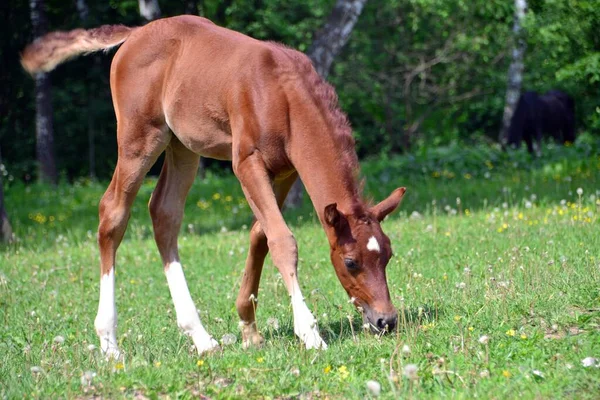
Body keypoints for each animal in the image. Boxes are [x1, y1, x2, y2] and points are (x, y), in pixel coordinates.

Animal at [23, 15, 408, 358]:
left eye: (388, 255)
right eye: (351, 262)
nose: (386, 321)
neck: (282, 93)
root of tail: (134, 34)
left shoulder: (285, 171)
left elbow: (260, 234)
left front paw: (249, 327)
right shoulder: (246, 162)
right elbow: (282, 240)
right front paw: (309, 332)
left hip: (182, 147)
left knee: (164, 214)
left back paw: (201, 337)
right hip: (139, 138)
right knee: (113, 213)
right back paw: (109, 342)